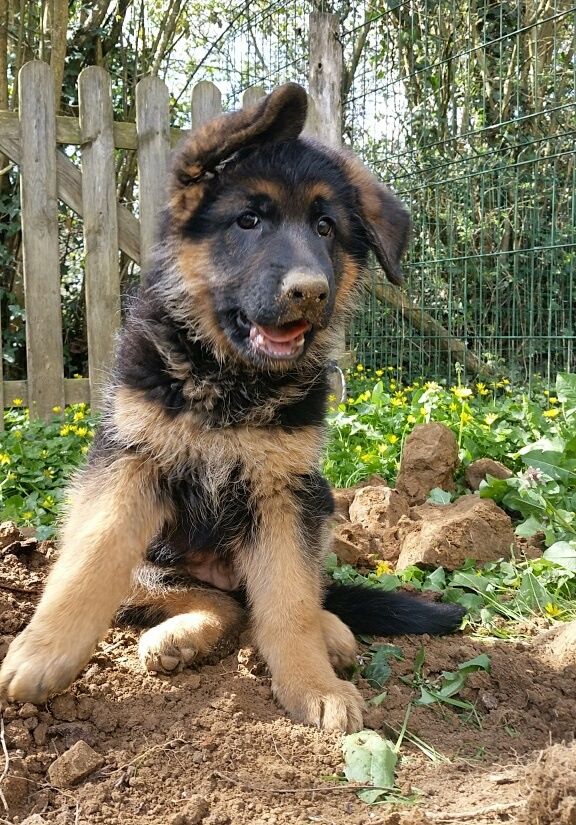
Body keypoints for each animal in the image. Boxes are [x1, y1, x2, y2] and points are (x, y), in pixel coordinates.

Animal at [0, 83, 462, 732]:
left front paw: (312, 684)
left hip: (320, 502)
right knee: (216, 601)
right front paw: (43, 655)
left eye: (325, 227)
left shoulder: (285, 490)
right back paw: (178, 639)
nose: (310, 292)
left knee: (274, 599)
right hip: (158, 559)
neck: (229, 380)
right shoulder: (128, 465)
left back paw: (329, 633)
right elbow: (89, 563)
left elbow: (290, 601)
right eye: (249, 220)